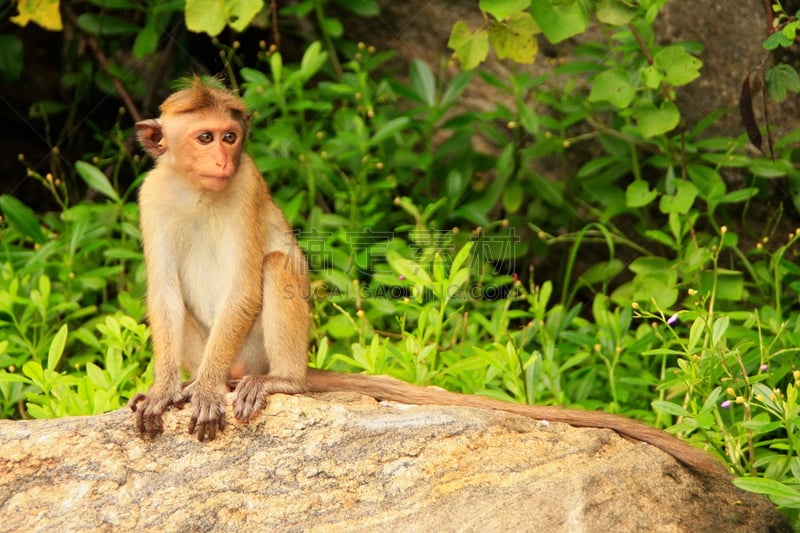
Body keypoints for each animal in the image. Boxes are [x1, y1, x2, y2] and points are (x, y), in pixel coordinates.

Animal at [126, 78, 724, 474]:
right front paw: (166, 389)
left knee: (277, 266)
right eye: (205, 138)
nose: (223, 161)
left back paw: (270, 382)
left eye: (230, 137)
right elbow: (163, 294)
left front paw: (202, 392)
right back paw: (195, 381)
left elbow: (247, 285)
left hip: (252, 352)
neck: (198, 190)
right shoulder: (151, 196)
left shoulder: (247, 185)